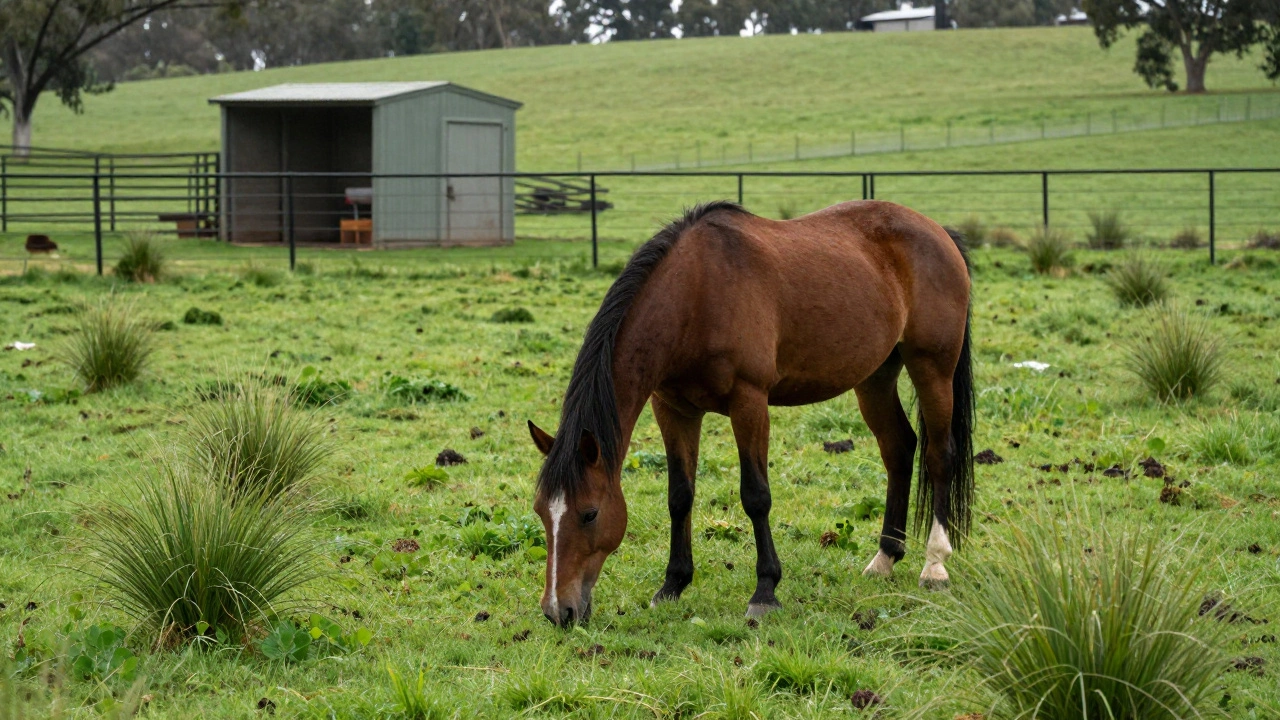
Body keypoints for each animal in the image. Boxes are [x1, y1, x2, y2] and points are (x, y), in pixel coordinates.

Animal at [528, 199, 974, 626]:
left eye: (589, 514)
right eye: (541, 512)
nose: (558, 611)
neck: (695, 294)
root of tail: (938, 231)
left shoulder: (749, 402)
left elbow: (756, 496)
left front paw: (765, 592)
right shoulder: (673, 409)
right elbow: (680, 495)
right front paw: (672, 585)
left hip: (932, 367)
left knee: (939, 456)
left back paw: (935, 565)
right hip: (875, 377)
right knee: (899, 449)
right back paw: (885, 558)